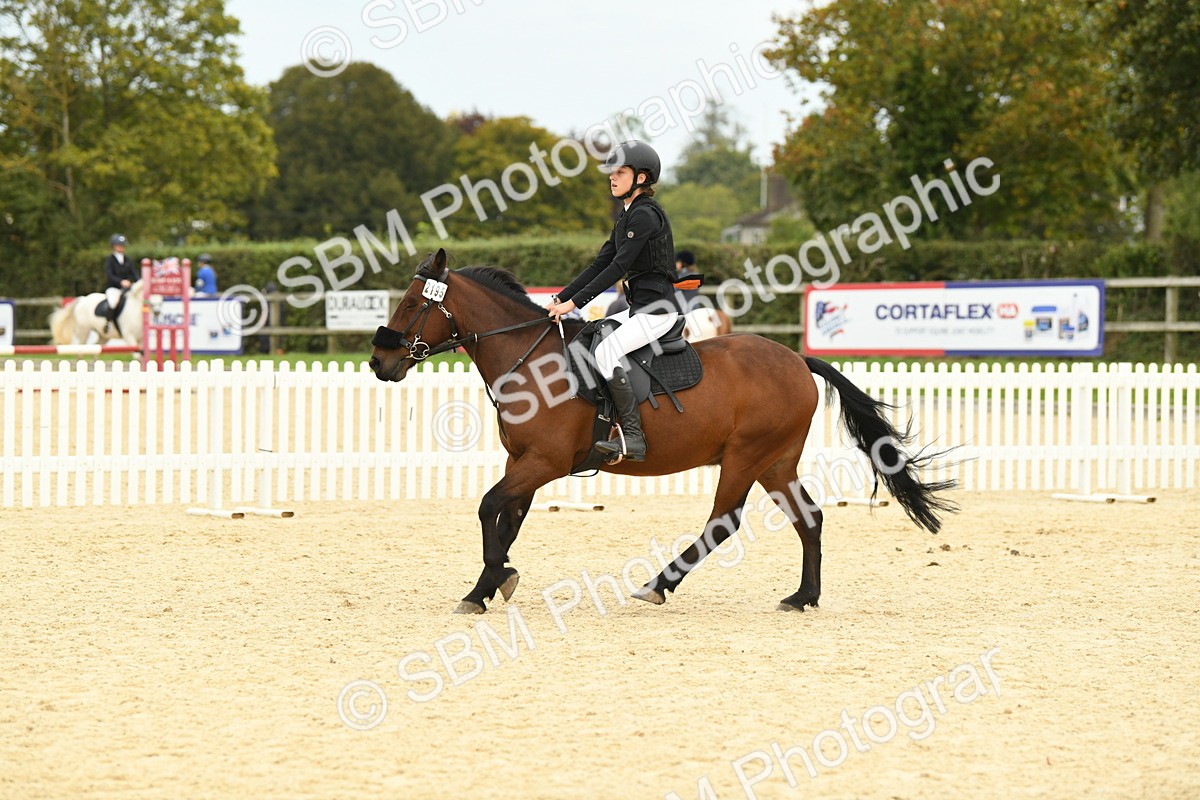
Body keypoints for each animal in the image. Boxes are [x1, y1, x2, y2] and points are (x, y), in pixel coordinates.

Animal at [370, 249, 956, 614]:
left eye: (413, 303)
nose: (379, 362)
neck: (530, 359)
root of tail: (795, 358)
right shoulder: (524, 464)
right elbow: (507, 519)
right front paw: (489, 586)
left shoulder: (544, 463)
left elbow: (489, 506)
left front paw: (493, 579)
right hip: (775, 461)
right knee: (807, 519)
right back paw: (802, 597)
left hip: (745, 457)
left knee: (723, 521)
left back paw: (658, 585)